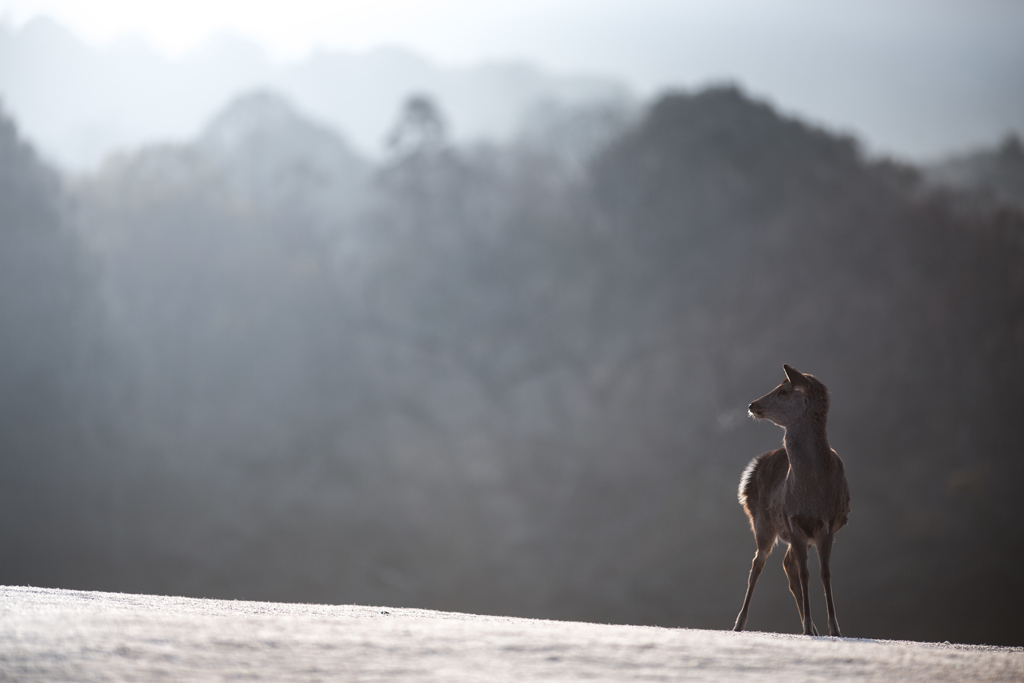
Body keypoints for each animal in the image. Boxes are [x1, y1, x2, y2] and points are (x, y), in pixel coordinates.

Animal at [737, 366, 847, 638]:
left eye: (783, 390)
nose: (753, 404)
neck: (813, 490)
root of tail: (752, 470)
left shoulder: (826, 523)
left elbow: (825, 573)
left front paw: (834, 629)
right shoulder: (793, 519)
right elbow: (806, 573)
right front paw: (807, 625)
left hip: (798, 534)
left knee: (787, 564)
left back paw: (815, 629)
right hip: (763, 522)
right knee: (758, 563)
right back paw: (739, 623)